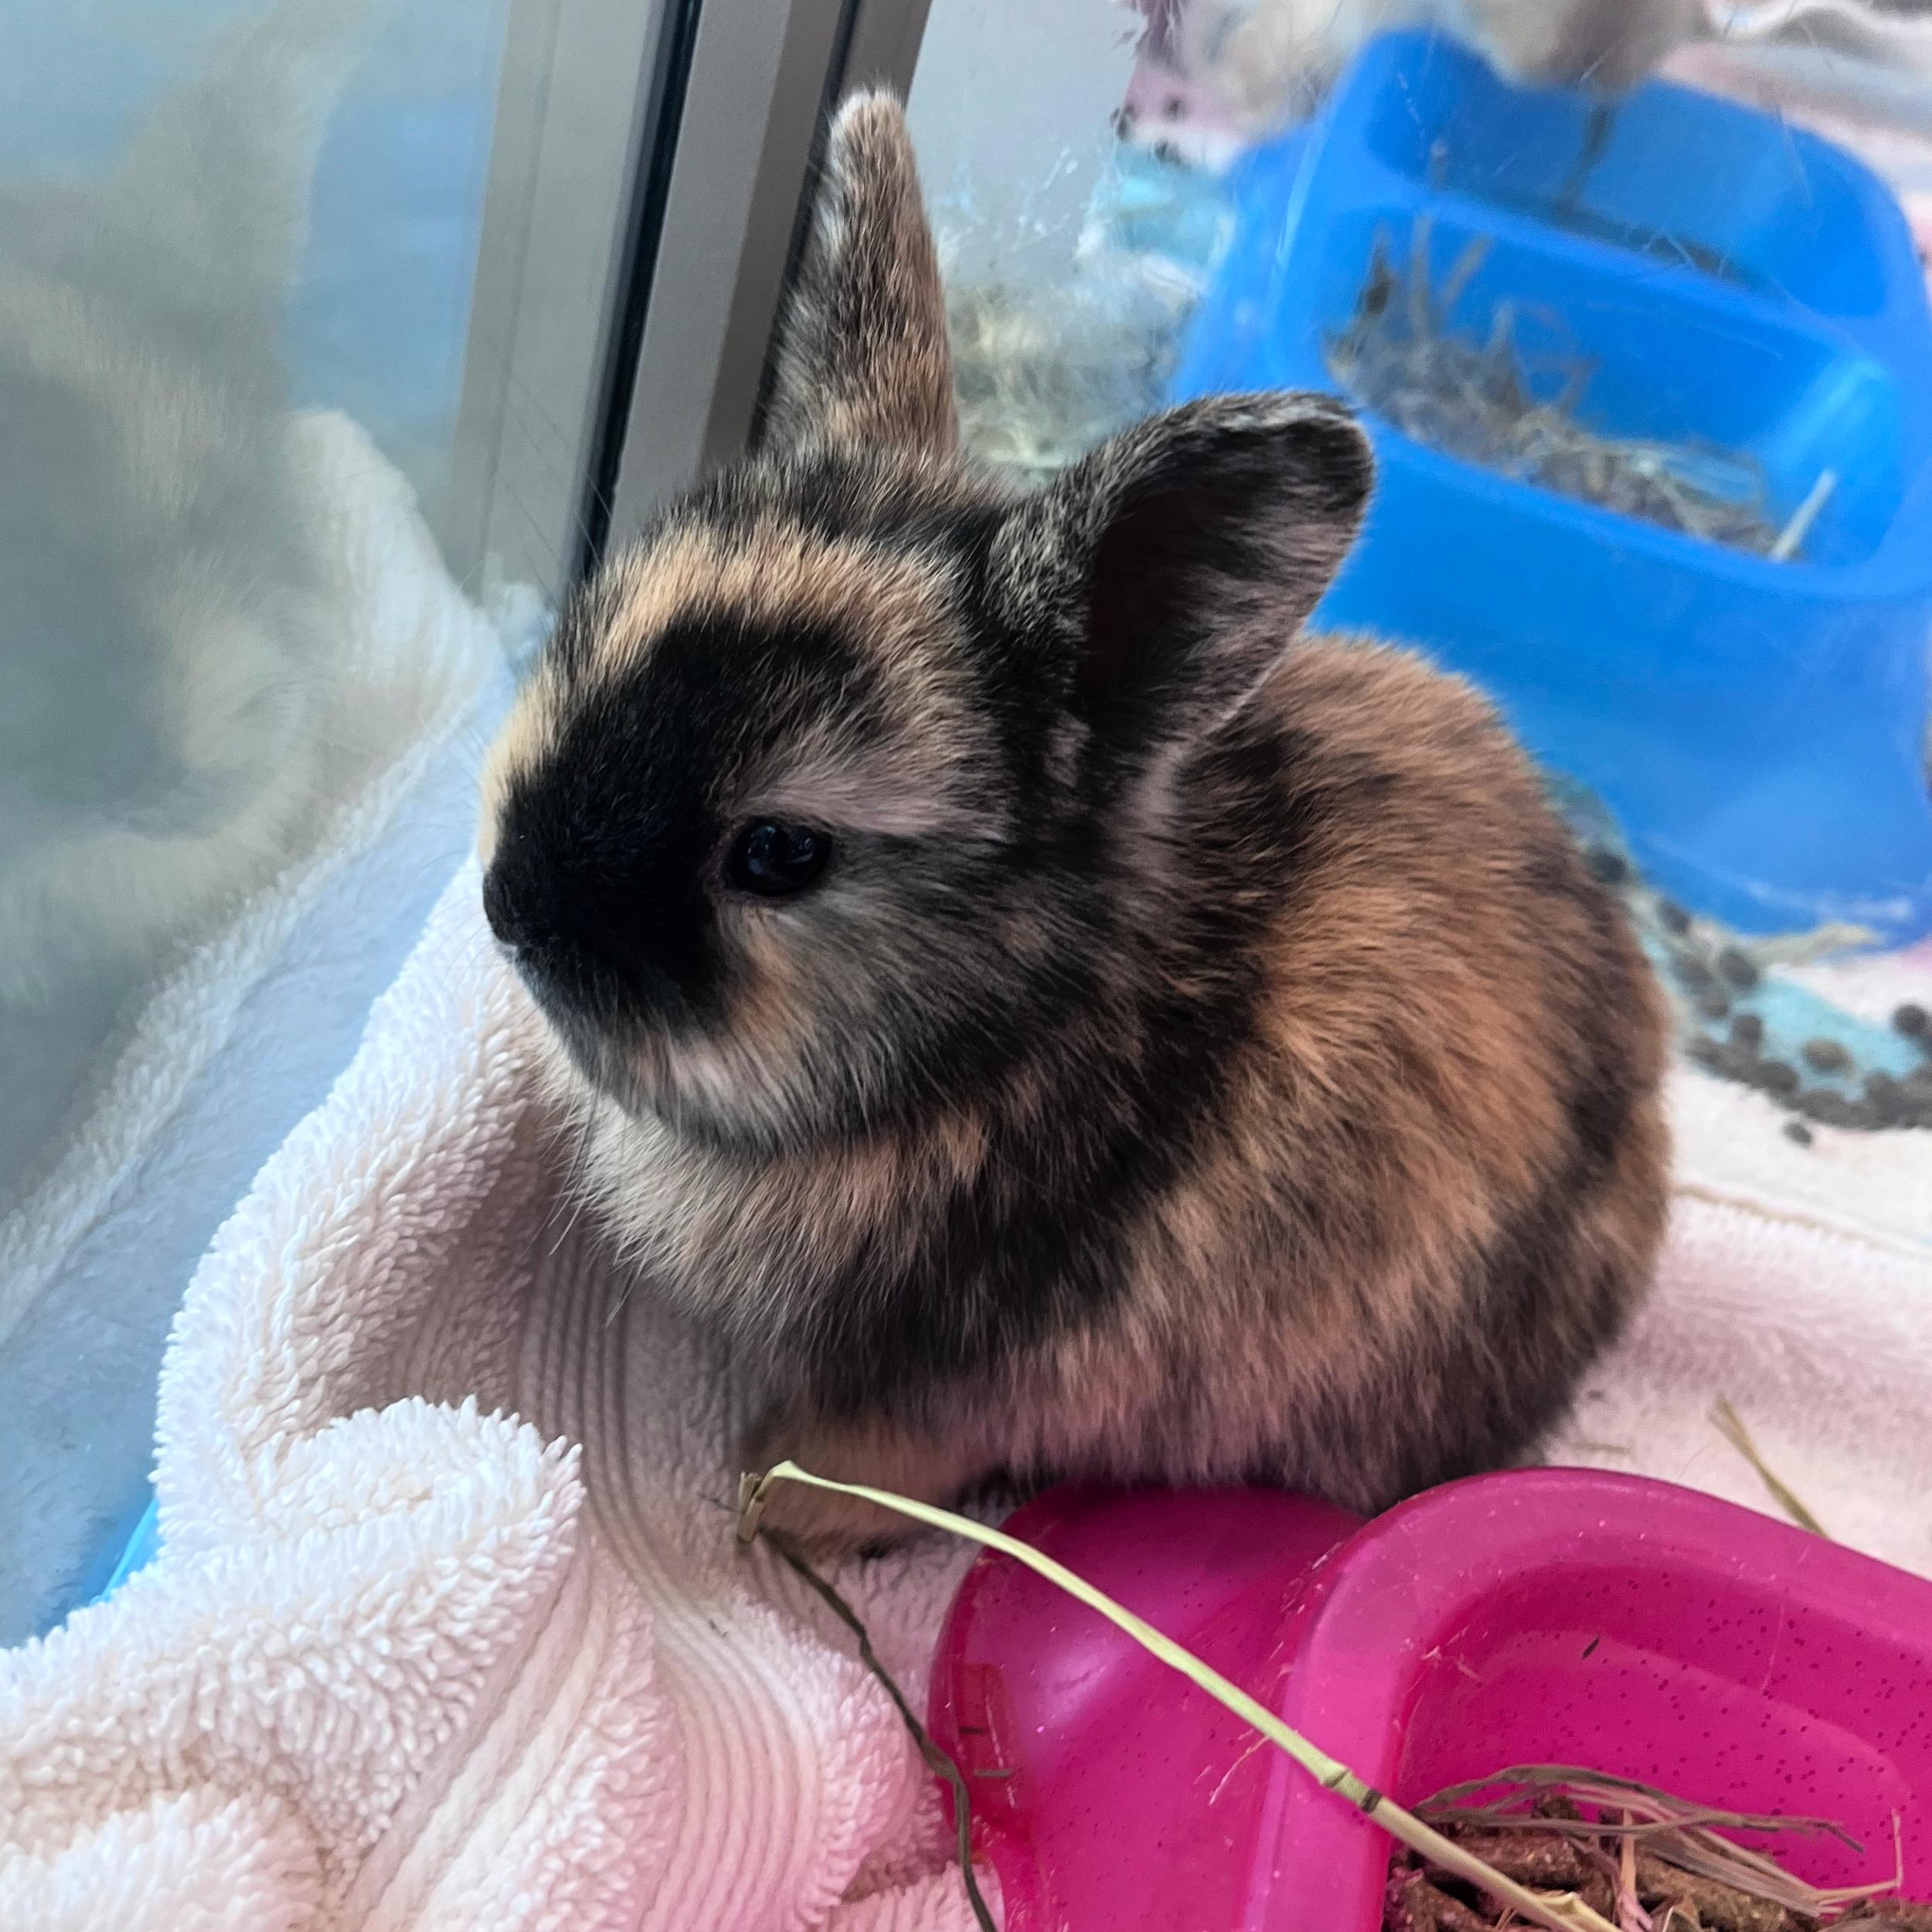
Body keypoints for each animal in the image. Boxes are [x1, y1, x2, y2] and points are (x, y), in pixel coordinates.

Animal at [479, 91, 1671, 1554]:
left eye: (780, 853)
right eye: (593, 642)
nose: (513, 906)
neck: (994, 1039)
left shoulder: (953, 1387)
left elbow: (878, 1454)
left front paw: (776, 1499)